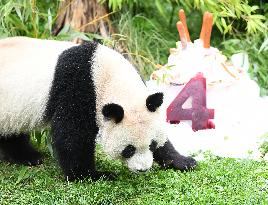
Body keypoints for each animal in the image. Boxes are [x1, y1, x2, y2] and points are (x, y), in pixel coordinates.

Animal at [0, 36, 197, 181]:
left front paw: (183, 161)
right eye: (129, 149)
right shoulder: (77, 89)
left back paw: (27, 156)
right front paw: (93, 174)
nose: (143, 169)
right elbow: (72, 136)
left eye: (152, 144)